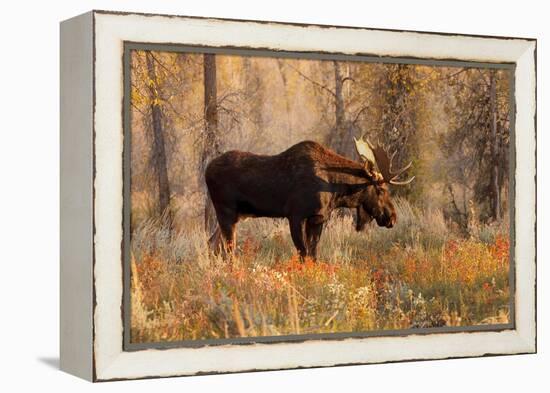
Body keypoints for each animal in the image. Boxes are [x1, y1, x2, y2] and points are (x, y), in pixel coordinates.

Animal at [206, 136, 414, 258]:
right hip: (226, 211)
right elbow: (303, 254)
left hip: (236, 216)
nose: (392, 217)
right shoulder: (296, 215)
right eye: (381, 189)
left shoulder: (317, 218)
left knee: (212, 243)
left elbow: (313, 255)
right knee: (227, 249)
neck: (335, 188)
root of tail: (206, 170)